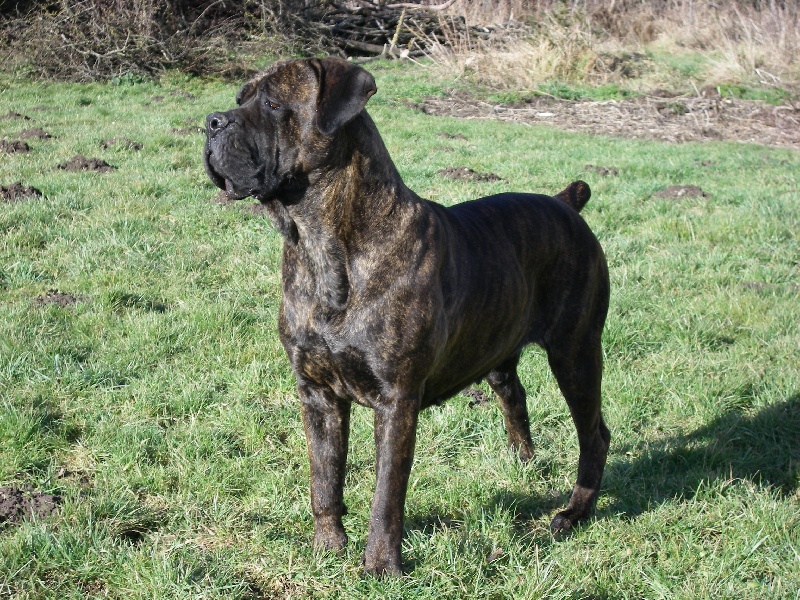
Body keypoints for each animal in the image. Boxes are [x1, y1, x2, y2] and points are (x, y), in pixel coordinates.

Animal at [204, 57, 610, 576]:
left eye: (274, 104)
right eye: (240, 100)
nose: (212, 122)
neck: (321, 246)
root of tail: (564, 203)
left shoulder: (396, 400)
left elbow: (386, 495)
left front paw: (381, 567)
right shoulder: (316, 393)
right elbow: (324, 477)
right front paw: (327, 547)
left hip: (575, 352)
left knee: (594, 434)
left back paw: (574, 512)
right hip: (499, 342)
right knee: (513, 393)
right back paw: (523, 463)